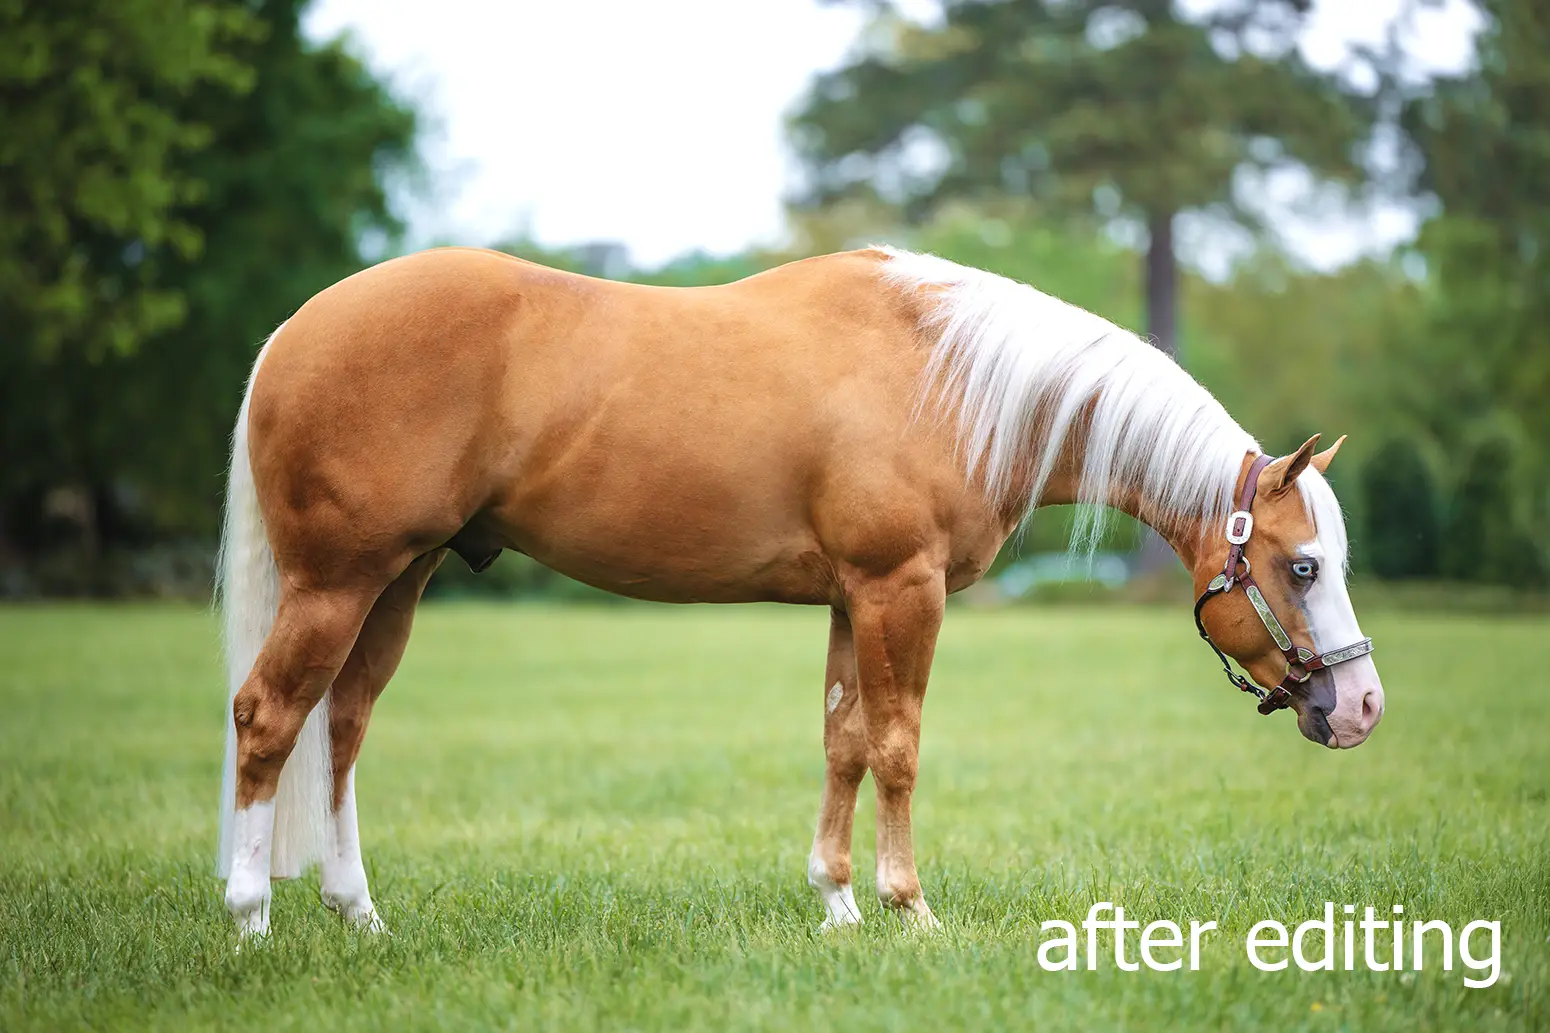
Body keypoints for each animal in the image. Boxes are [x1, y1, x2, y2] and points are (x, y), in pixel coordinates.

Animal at [216, 245, 1385, 938]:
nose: (1361, 706)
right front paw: (908, 909)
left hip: (397, 582)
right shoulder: (899, 588)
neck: (946, 373)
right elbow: (898, 745)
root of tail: (291, 331)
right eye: (1300, 565)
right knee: (269, 717)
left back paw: (357, 911)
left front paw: (836, 903)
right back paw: (250, 916)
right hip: (338, 581)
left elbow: (843, 741)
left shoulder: (847, 598)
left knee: (343, 722)